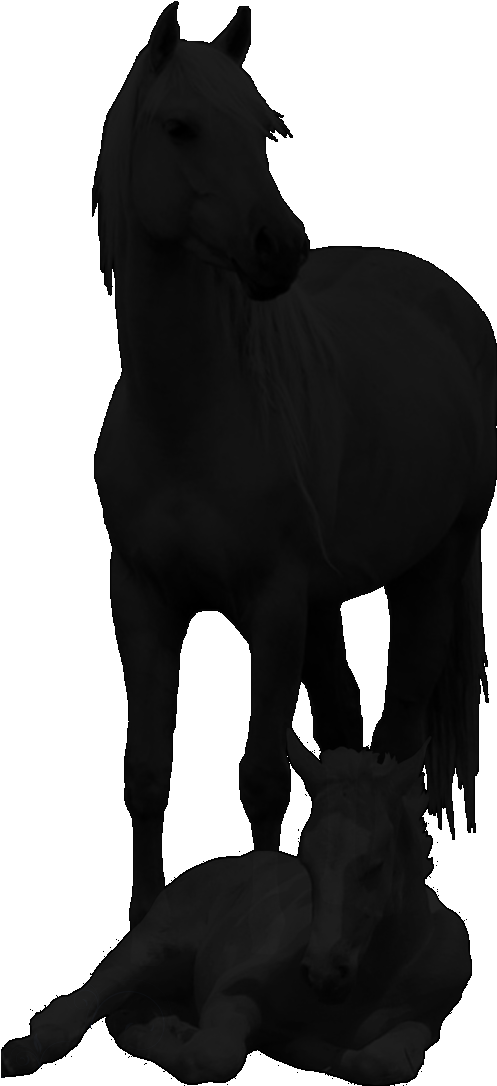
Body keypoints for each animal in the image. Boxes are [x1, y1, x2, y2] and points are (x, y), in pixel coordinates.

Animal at [0, 731, 471, 1083]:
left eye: (375, 864)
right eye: (306, 861)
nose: (323, 974)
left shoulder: (424, 1022)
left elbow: (382, 1061)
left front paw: (306, 1047)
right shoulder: (231, 992)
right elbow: (210, 1056)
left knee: (124, 1015)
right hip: (151, 946)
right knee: (77, 1006)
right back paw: (23, 1054)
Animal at [92, 1, 496, 929]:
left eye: (262, 133)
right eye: (181, 127)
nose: (280, 248)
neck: (188, 421)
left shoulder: (273, 604)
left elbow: (260, 778)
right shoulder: (142, 598)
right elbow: (146, 773)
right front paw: (143, 919)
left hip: (433, 563)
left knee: (398, 729)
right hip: (325, 601)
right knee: (346, 724)